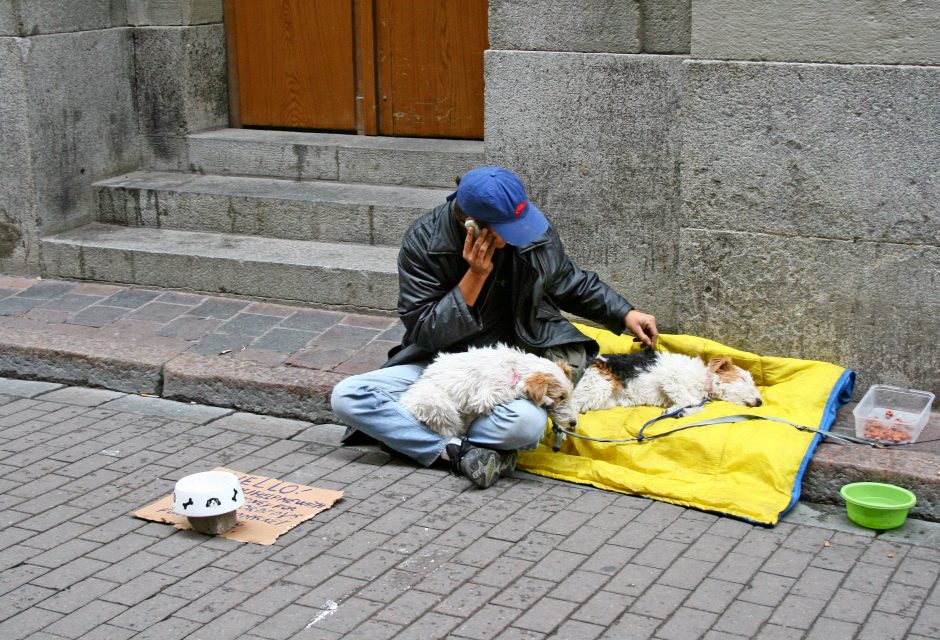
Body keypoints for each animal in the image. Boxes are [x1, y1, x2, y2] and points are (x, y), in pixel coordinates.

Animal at [398, 344, 576, 440]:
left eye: (569, 395)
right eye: (560, 397)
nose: (574, 423)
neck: (516, 370)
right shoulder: (487, 395)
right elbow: (514, 390)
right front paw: (545, 399)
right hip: (436, 402)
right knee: (450, 430)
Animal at [572, 348, 764, 418]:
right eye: (744, 379)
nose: (760, 402)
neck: (704, 379)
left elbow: (695, 405)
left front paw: (680, 412)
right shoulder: (671, 379)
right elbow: (691, 400)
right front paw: (676, 410)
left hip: (606, 401)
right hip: (597, 388)